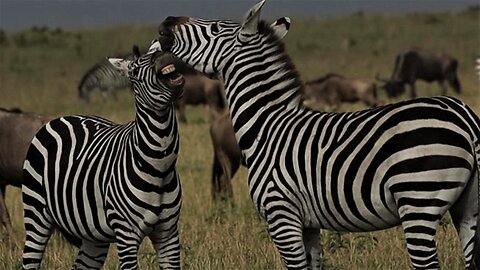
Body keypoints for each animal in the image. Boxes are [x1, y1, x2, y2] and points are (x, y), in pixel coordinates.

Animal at [21, 43, 185, 268]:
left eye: (157, 53)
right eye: (134, 71)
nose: (162, 55)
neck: (159, 166)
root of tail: (61, 118)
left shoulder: (168, 233)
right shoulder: (126, 234)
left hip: (92, 235)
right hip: (36, 212)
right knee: (29, 258)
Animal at [155, 1, 480, 268]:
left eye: (213, 28)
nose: (167, 20)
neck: (267, 126)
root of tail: (464, 117)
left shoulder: (281, 213)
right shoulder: (309, 222)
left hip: (418, 202)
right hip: (467, 207)